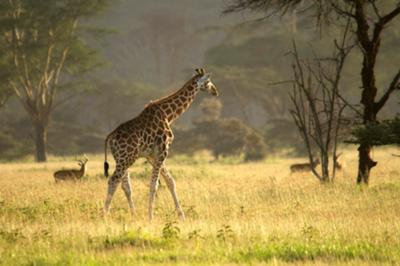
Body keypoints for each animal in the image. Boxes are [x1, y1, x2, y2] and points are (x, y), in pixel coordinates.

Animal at [101, 68, 217, 220]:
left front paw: (181, 216)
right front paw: (151, 217)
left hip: (121, 158)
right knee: (113, 180)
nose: (215, 91)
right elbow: (154, 184)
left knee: (125, 185)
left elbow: (170, 181)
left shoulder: (152, 155)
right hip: (127, 157)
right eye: (208, 81)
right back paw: (104, 216)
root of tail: (110, 137)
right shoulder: (163, 150)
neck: (169, 115)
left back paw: (133, 215)